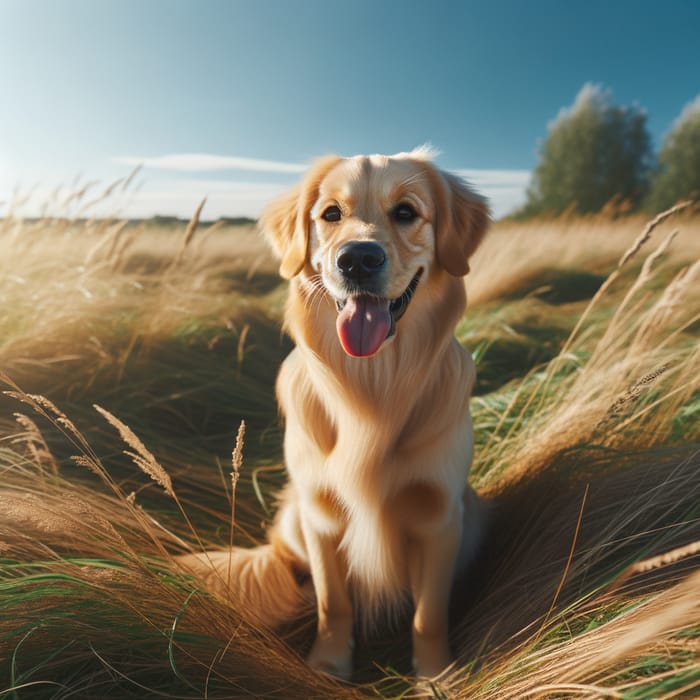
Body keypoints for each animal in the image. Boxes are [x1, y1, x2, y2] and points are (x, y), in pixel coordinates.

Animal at [178, 148, 490, 680]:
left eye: (405, 212)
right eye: (330, 214)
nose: (358, 259)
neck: (371, 383)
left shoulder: (440, 514)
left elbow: (428, 614)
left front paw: (434, 676)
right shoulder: (319, 512)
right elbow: (334, 601)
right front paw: (328, 665)